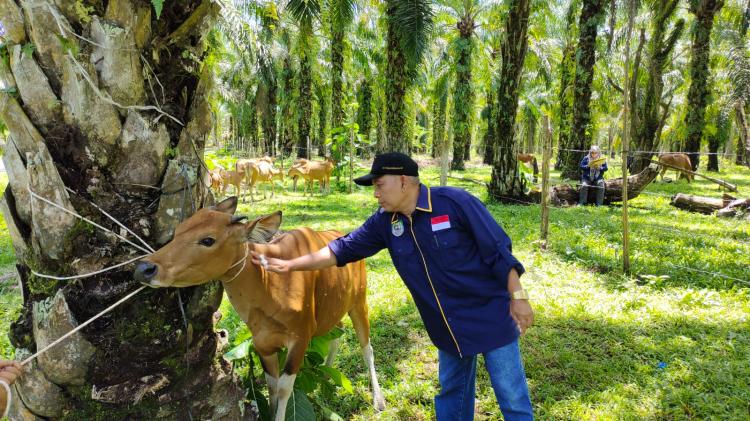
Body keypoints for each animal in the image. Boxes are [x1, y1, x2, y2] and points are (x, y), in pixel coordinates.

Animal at [134, 198, 388, 420]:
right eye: (178, 231)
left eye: (208, 240)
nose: (144, 268)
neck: (271, 287)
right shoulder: (263, 344)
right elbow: (272, 387)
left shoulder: (300, 338)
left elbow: (285, 388)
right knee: (337, 335)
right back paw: (326, 372)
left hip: (359, 302)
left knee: (367, 348)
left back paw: (378, 399)